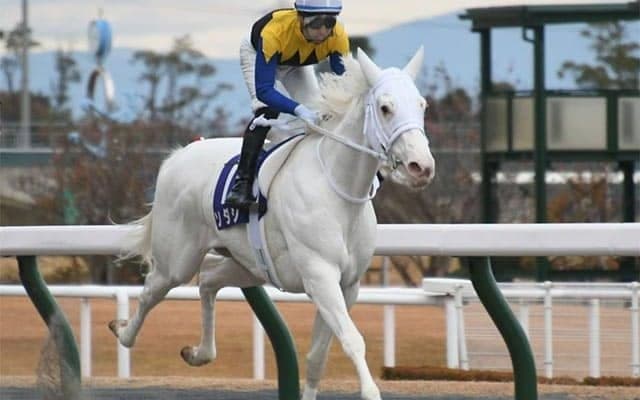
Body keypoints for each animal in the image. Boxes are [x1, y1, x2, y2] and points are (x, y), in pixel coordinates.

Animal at [109, 47, 435, 400]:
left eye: (422, 104)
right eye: (386, 108)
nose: (421, 167)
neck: (337, 189)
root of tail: (178, 155)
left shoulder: (347, 284)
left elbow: (318, 355)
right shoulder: (320, 276)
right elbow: (352, 340)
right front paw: (371, 392)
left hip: (249, 264)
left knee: (207, 280)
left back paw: (198, 352)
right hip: (177, 259)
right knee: (152, 290)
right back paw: (123, 332)